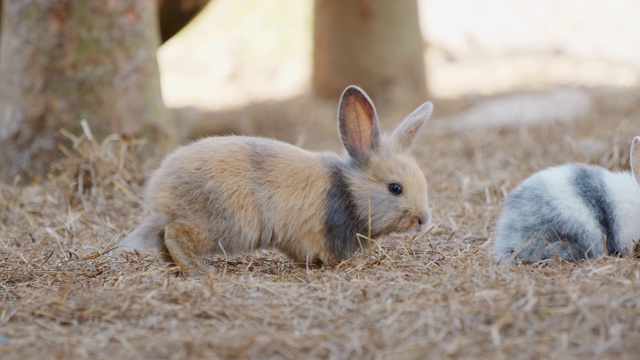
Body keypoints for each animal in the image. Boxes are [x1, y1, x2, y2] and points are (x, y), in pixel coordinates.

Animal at [121, 86, 436, 276]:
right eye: (395, 188)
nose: (422, 219)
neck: (350, 191)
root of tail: (160, 194)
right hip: (221, 224)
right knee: (175, 235)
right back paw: (200, 271)